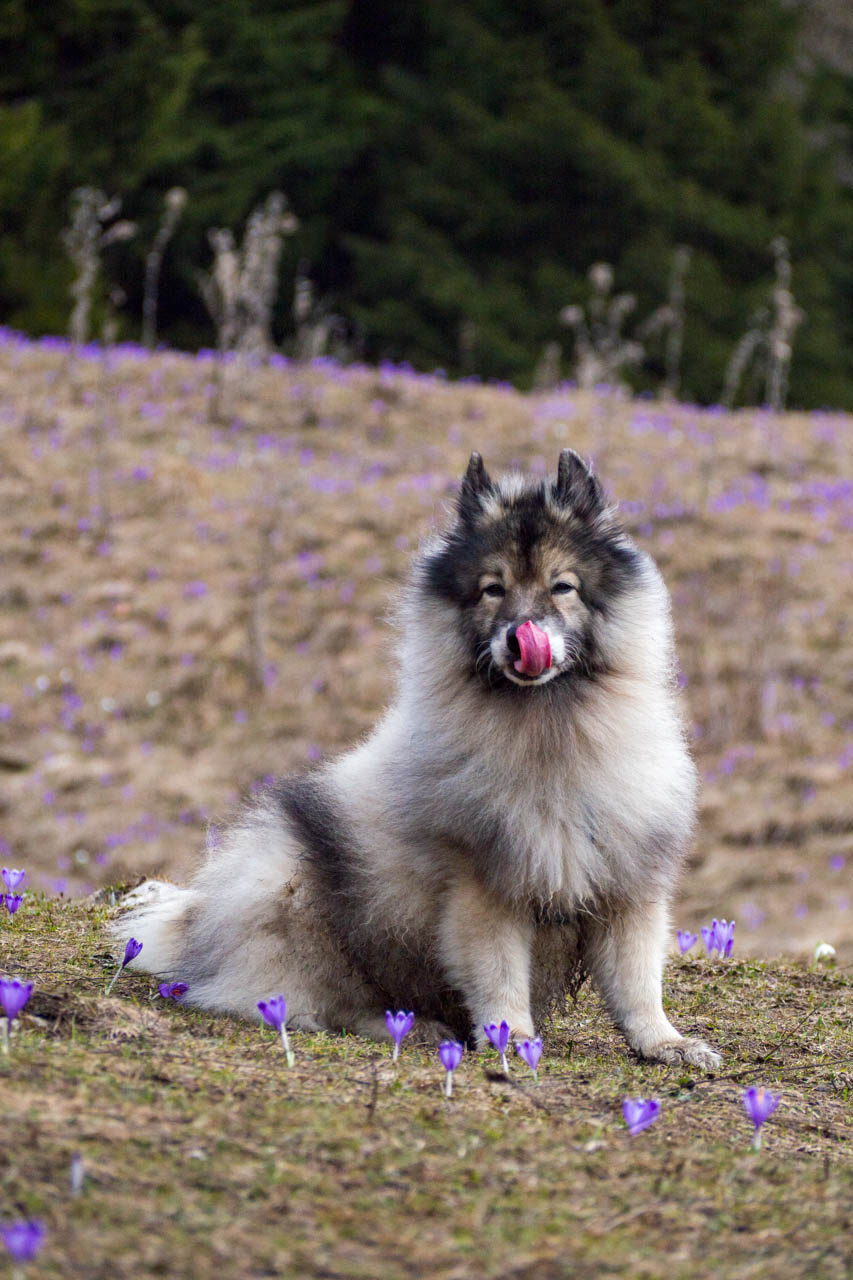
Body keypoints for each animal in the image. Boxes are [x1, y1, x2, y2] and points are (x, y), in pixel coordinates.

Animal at [114, 450, 717, 1070]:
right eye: (492, 589)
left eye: (563, 587)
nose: (520, 637)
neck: (549, 727)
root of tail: (197, 925)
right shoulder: (484, 888)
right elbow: (500, 977)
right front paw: (512, 1039)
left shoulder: (627, 884)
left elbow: (637, 983)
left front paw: (666, 1043)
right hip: (293, 890)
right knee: (320, 1003)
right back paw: (411, 1026)